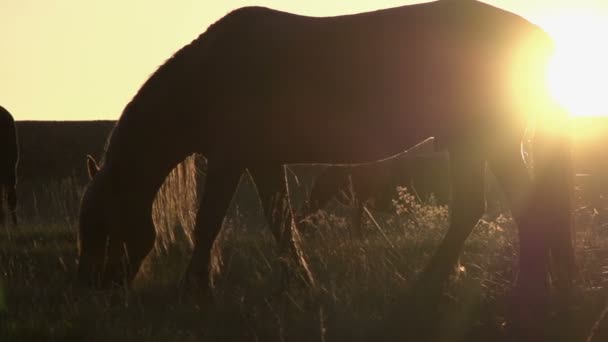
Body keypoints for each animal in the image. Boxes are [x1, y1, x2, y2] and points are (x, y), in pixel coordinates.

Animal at [79, 0, 576, 318]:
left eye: (101, 225)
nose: (96, 290)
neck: (210, 76)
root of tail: (541, 40)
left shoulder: (229, 158)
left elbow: (209, 224)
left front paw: (195, 289)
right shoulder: (261, 161)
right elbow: (280, 222)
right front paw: (301, 282)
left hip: (486, 141)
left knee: (515, 209)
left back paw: (515, 292)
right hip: (469, 143)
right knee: (488, 208)